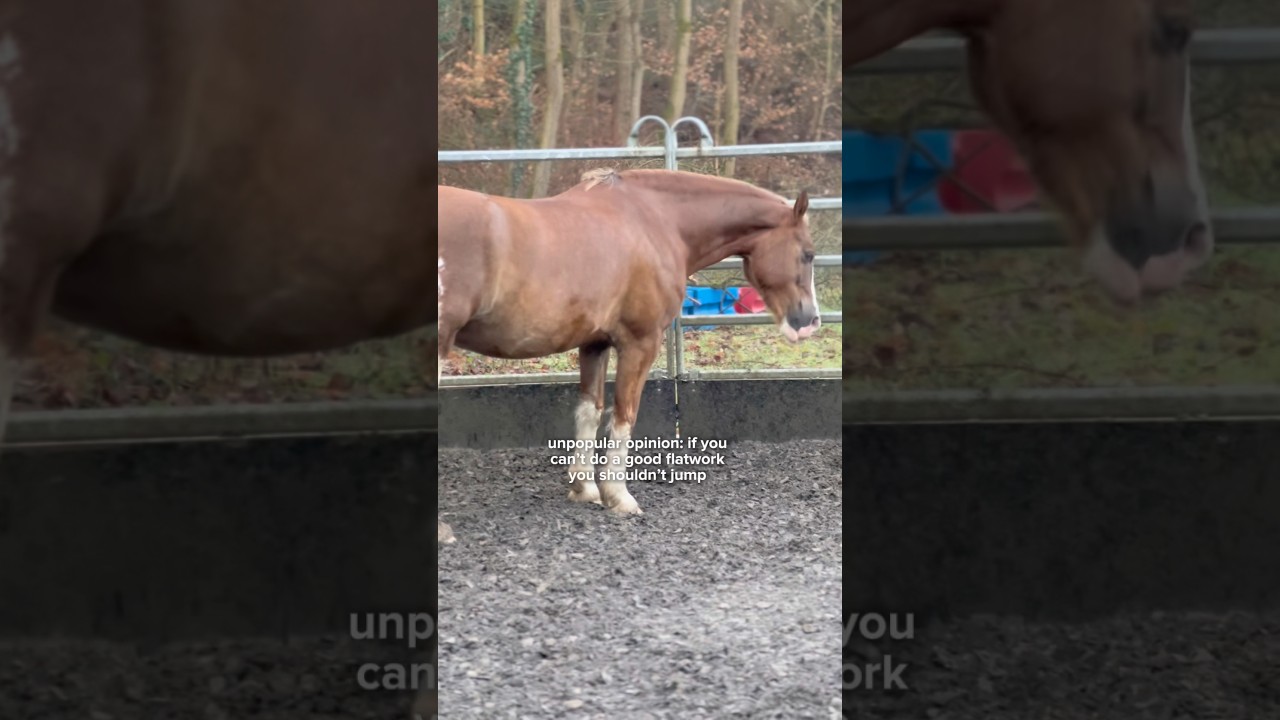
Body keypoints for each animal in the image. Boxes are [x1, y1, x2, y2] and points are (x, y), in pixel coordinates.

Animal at [437, 168, 821, 528]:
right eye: (809, 254)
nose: (811, 320)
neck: (654, 220)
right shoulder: (640, 342)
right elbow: (625, 416)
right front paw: (619, 497)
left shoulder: (594, 343)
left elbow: (590, 411)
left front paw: (585, 489)